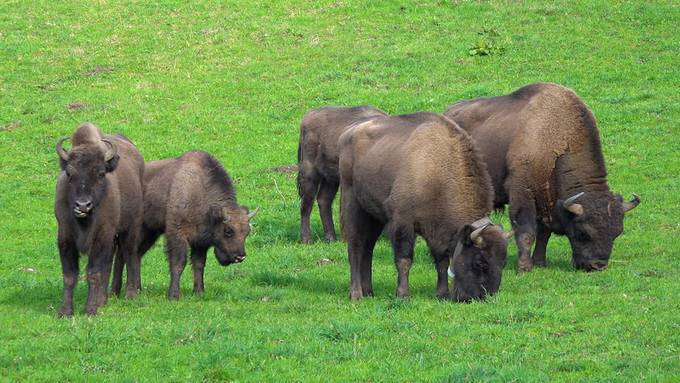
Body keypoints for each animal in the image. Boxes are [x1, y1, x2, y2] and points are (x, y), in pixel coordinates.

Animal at [55, 124, 145, 318]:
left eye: (101, 173)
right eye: (69, 173)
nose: (83, 206)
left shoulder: (102, 235)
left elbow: (94, 273)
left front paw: (90, 310)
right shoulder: (65, 237)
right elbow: (70, 275)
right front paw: (65, 311)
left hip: (131, 227)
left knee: (130, 254)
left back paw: (130, 294)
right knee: (110, 262)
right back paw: (103, 299)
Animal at [112, 151, 258, 300]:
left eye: (247, 232)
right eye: (228, 231)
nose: (240, 256)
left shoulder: (200, 242)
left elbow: (199, 264)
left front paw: (199, 292)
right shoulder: (177, 234)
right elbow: (178, 263)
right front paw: (173, 295)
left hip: (150, 232)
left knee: (135, 255)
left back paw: (135, 289)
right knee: (125, 253)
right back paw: (118, 291)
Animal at [298, 105, 388, 243]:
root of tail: (309, 115)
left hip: (331, 179)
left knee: (324, 200)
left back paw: (331, 237)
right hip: (310, 172)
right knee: (306, 203)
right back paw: (307, 239)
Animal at [338, 112, 512, 304]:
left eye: (503, 263)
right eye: (480, 263)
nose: (482, 296)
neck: (437, 173)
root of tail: (348, 133)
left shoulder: (436, 232)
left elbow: (442, 261)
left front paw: (442, 294)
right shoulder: (402, 223)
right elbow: (404, 259)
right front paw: (403, 295)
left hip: (374, 216)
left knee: (368, 249)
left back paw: (369, 291)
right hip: (353, 205)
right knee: (355, 247)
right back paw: (356, 294)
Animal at [444, 82, 640, 272]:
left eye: (617, 232)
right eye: (583, 233)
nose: (597, 266)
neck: (560, 140)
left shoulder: (546, 202)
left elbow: (544, 234)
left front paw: (539, 262)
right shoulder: (523, 193)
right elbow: (527, 232)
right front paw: (524, 268)